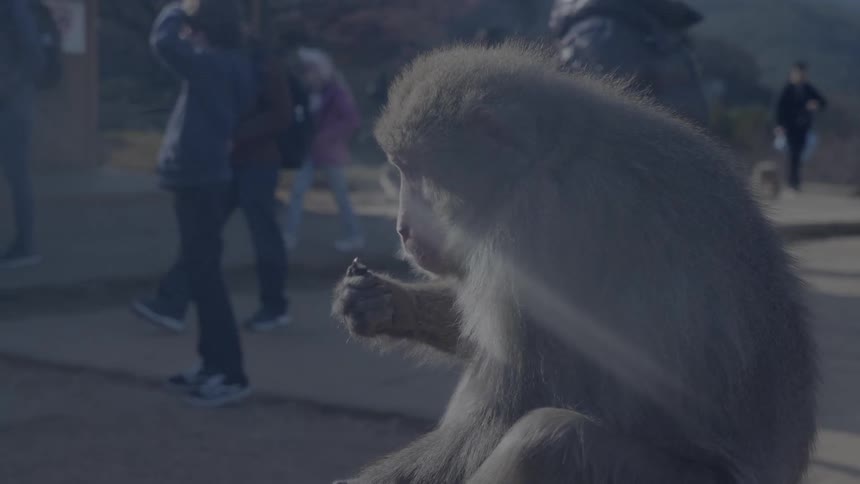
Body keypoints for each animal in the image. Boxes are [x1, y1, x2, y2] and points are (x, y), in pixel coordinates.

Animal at [331, 42, 817, 484]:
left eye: (416, 173)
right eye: (399, 169)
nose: (402, 228)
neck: (538, 165)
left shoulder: (547, 231)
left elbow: (510, 409)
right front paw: (383, 303)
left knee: (547, 441)